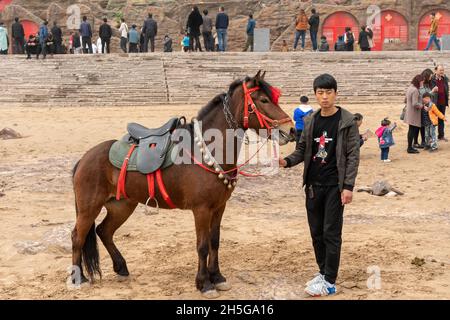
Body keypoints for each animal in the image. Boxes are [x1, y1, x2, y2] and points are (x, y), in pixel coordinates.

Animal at [71, 70, 296, 298]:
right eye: (264, 100)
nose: (292, 129)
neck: (208, 151)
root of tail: (85, 157)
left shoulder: (219, 207)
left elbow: (215, 241)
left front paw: (217, 277)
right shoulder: (201, 209)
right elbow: (203, 246)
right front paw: (204, 283)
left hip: (122, 206)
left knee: (104, 231)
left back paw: (121, 267)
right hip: (89, 207)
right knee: (77, 237)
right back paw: (78, 279)